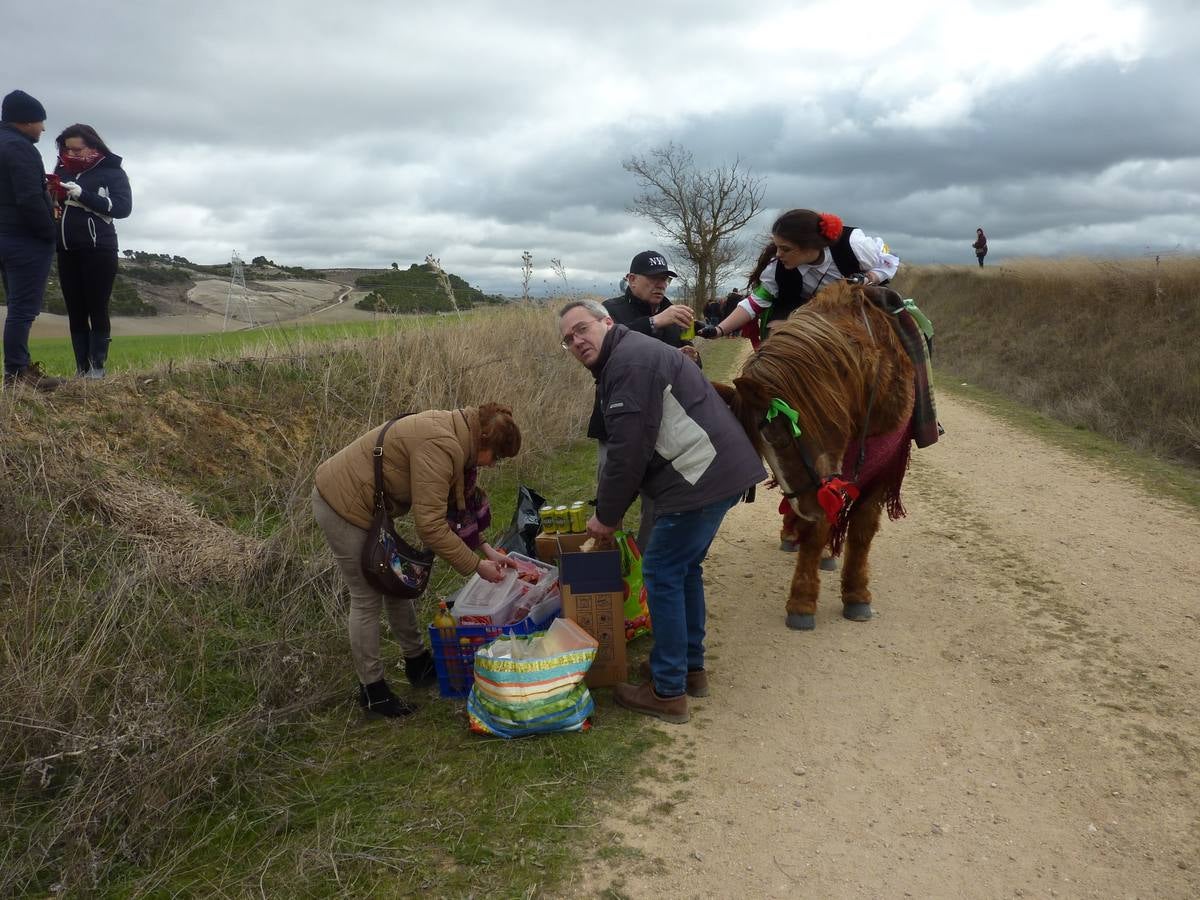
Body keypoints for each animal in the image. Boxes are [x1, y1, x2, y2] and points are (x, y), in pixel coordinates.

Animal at [714, 281, 917, 630]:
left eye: (779, 437)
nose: (806, 507)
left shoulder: (881, 466)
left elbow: (861, 530)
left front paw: (857, 593)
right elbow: (817, 529)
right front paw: (802, 601)